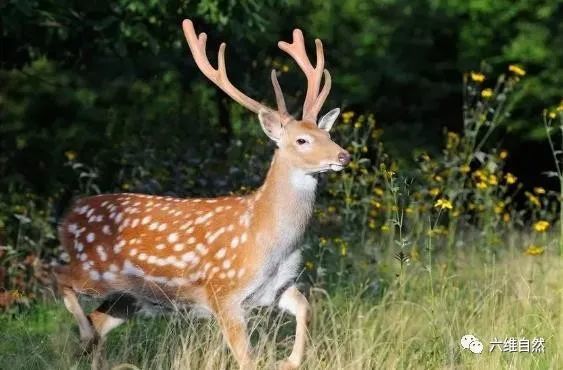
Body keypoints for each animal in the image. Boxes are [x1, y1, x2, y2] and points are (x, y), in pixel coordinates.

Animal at [55, 19, 350, 370]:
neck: (270, 240)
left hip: (132, 297)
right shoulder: (223, 291)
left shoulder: (278, 287)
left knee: (97, 320)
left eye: (327, 134)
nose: (344, 155)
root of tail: (68, 218)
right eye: (302, 140)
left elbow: (306, 308)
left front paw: (290, 361)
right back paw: (83, 331)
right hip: (95, 269)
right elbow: (246, 358)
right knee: (58, 276)